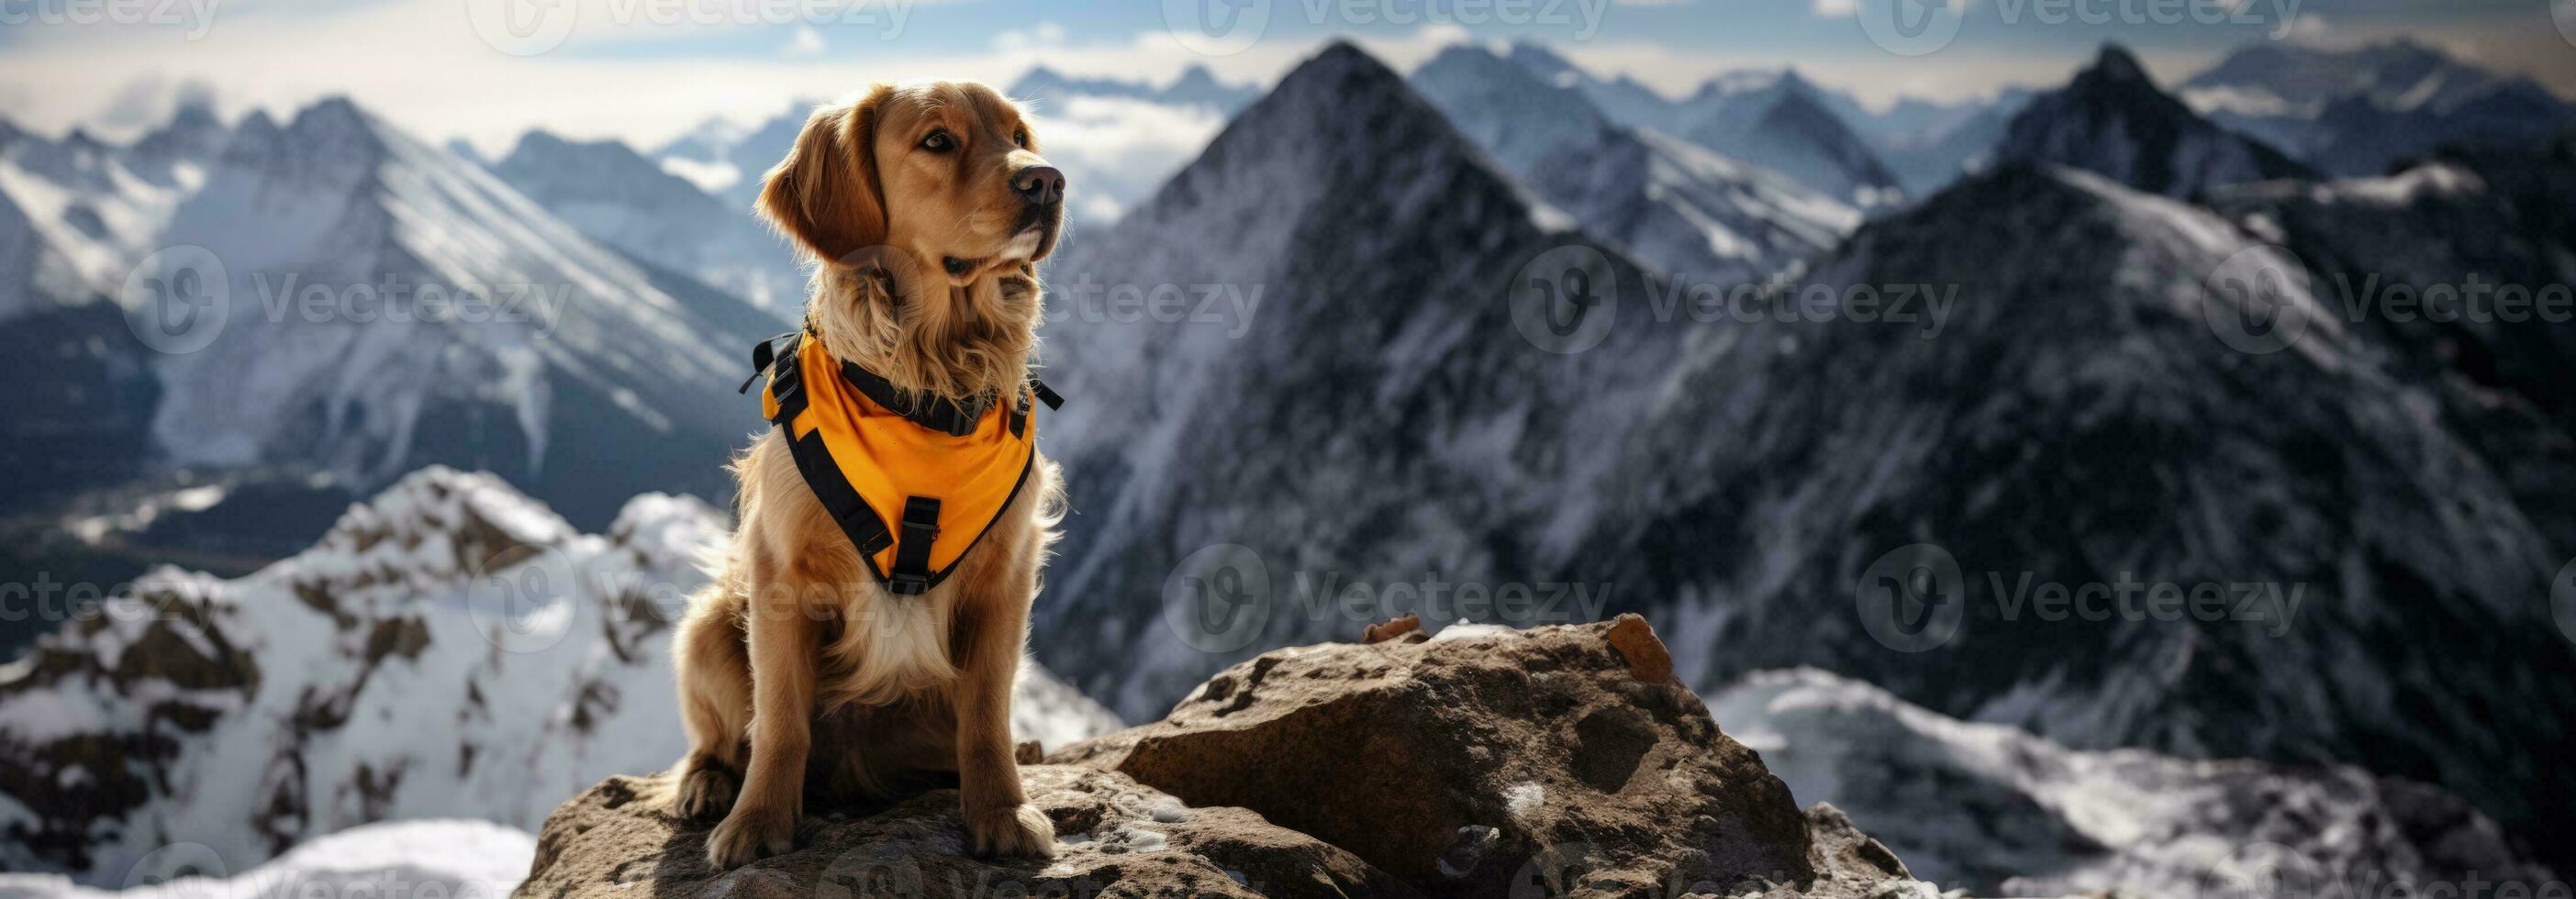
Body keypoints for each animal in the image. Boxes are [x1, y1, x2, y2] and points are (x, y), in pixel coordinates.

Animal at [669, 83, 1071, 871]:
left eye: (1017, 135)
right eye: (938, 141)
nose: (1046, 182)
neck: (927, 388)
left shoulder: (1005, 576)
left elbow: (986, 714)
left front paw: (1002, 811)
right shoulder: (780, 575)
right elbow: (780, 718)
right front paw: (758, 820)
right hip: (707, 624)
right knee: (721, 737)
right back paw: (707, 784)